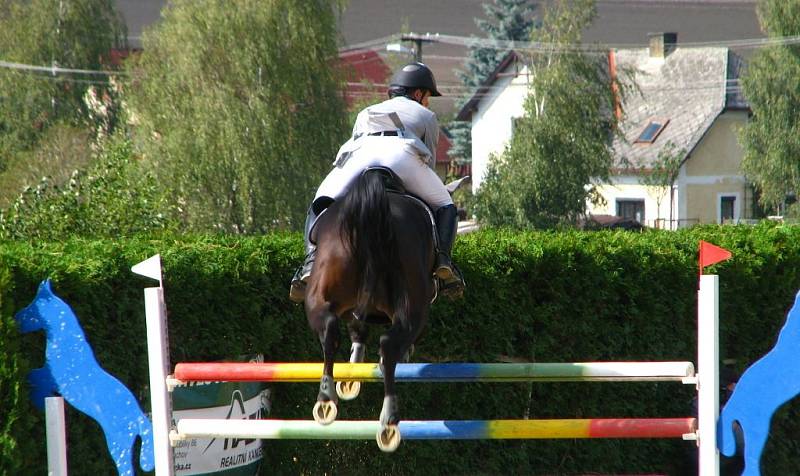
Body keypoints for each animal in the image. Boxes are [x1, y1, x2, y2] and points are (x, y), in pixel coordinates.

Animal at [15, 278, 155, 476]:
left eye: (33, 307)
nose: (16, 319)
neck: (66, 343)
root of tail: (138, 416)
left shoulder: (51, 376)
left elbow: (33, 376)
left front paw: (36, 399)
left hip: (118, 442)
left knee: (125, 467)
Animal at [304, 167, 438, 450]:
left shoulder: (352, 307)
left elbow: (356, 328)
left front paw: (349, 378)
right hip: (414, 304)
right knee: (389, 344)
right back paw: (389, 420)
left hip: (318, 292)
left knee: (329, 330)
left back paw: (325, 399)